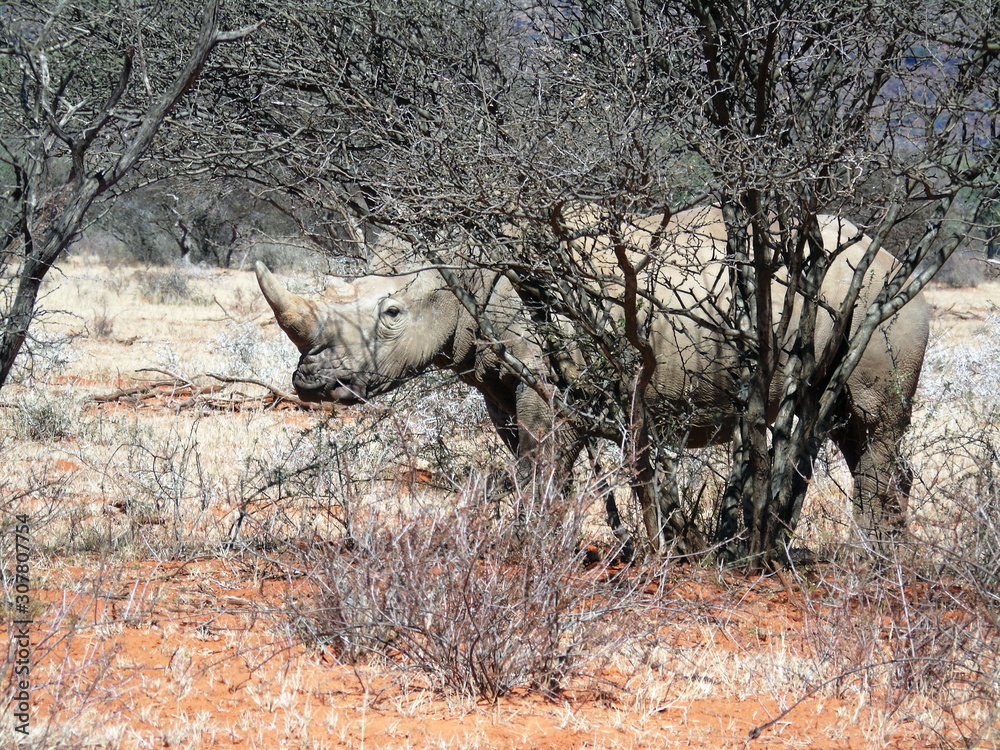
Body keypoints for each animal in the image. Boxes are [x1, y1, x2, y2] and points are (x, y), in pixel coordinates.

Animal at [256, 206, 929, 554]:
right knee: (835, 429)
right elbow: (527, 461)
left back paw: (869, 563)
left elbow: (545, 463)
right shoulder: (500, 384)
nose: (308, 381)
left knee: (873, 426)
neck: (465, 272)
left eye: (392, 314)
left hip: (877, 303)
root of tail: (894, 257)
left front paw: (535, 552)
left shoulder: (551, 387)